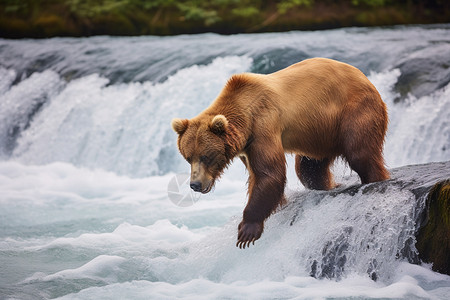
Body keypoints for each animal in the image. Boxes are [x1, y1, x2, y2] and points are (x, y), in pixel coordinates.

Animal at [171, 58, 388, 248]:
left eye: (206, 156)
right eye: (188, 157)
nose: (195, 184)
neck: (244, 117)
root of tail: (364, 77)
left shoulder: (263, 126)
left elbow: (269, 173)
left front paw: (247, 230)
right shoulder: (247, 146)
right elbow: (257, 176)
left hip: (354, 111)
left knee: (360, 153)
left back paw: (376, 178)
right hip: (321, 133)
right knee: (309, 168)